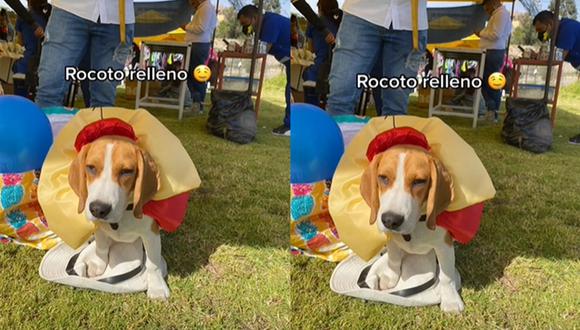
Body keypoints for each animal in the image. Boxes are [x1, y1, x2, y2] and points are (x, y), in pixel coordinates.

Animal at [69, 135, 170, 300]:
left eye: (126, 171)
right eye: (91, 167)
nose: (98, 209)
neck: (123, 213)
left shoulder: (151, 233)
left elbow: (153, 263)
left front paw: (157, 287)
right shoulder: (100, 228)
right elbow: (101, 247)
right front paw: (98, 263)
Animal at [360, 146, 464, 314]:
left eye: (419, 181)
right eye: (383, 178)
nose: (390, 220)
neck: (416, 224)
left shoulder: (444, 245)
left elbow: (446, 276)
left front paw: (451, 300)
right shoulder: (392, 239)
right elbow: (393, 259)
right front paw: (390, 276)